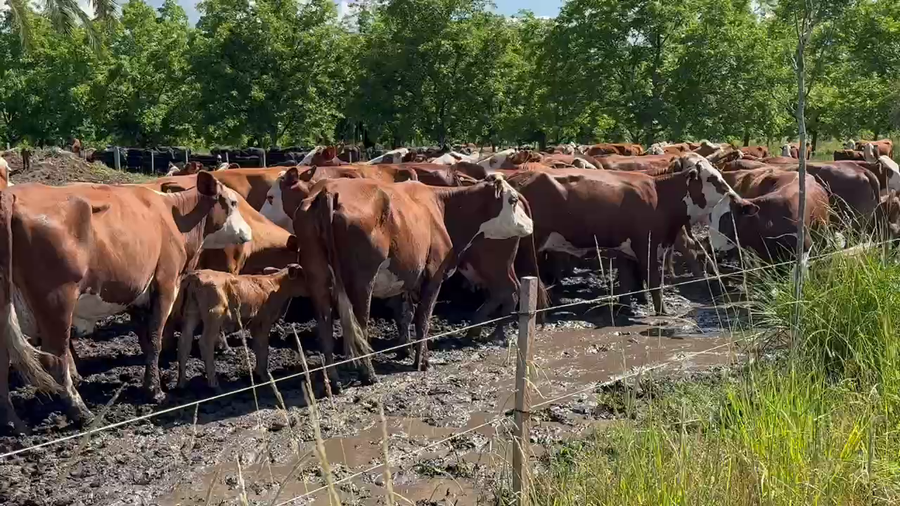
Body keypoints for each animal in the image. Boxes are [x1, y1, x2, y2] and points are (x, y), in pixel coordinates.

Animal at [0, 172, 252, 431]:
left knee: (3, 361)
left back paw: (12, 422)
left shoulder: (138, 296)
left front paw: (152, 381)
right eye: (233, 203)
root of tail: (10, 196)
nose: (248, 232)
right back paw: (81, 412)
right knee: (55, 358)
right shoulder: (166, 284)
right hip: (57, 302)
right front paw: (154, 391)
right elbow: (155, 338)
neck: (173, 217)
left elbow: (145, 339)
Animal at [175, 265, 306, 390]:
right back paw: (214, 384)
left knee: (184, 342)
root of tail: (196, 274)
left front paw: (258, 372)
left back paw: (181, 383)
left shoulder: (255, 324)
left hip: (191, 313)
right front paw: (264, 375)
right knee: (205, 343)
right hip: (215, 316)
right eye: (303, 276)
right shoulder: (264, 321)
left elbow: (258, 346)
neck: (274, 284)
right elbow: (264, 348)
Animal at [290, 175, 535, 385]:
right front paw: (421, 361)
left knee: (325, 323)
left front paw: (404, 350)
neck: (440, 207)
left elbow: (405, 314)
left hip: (317, 275)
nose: (531, 224)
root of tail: (328, 190)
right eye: (512, 200)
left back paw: (334, 379)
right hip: (361, 280)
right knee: (360, 323)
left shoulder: (408, 278)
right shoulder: (434, 275)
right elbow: (423, 318)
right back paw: (368, 374)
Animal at [508, 153, 745, 315]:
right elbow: (653, 281)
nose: (736, 198)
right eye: (712, 178)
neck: (659, 195)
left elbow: (626, 281)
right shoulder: (647, 245)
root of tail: (517, 178)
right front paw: (662, 311)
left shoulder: (625, 248)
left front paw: (625, 307)